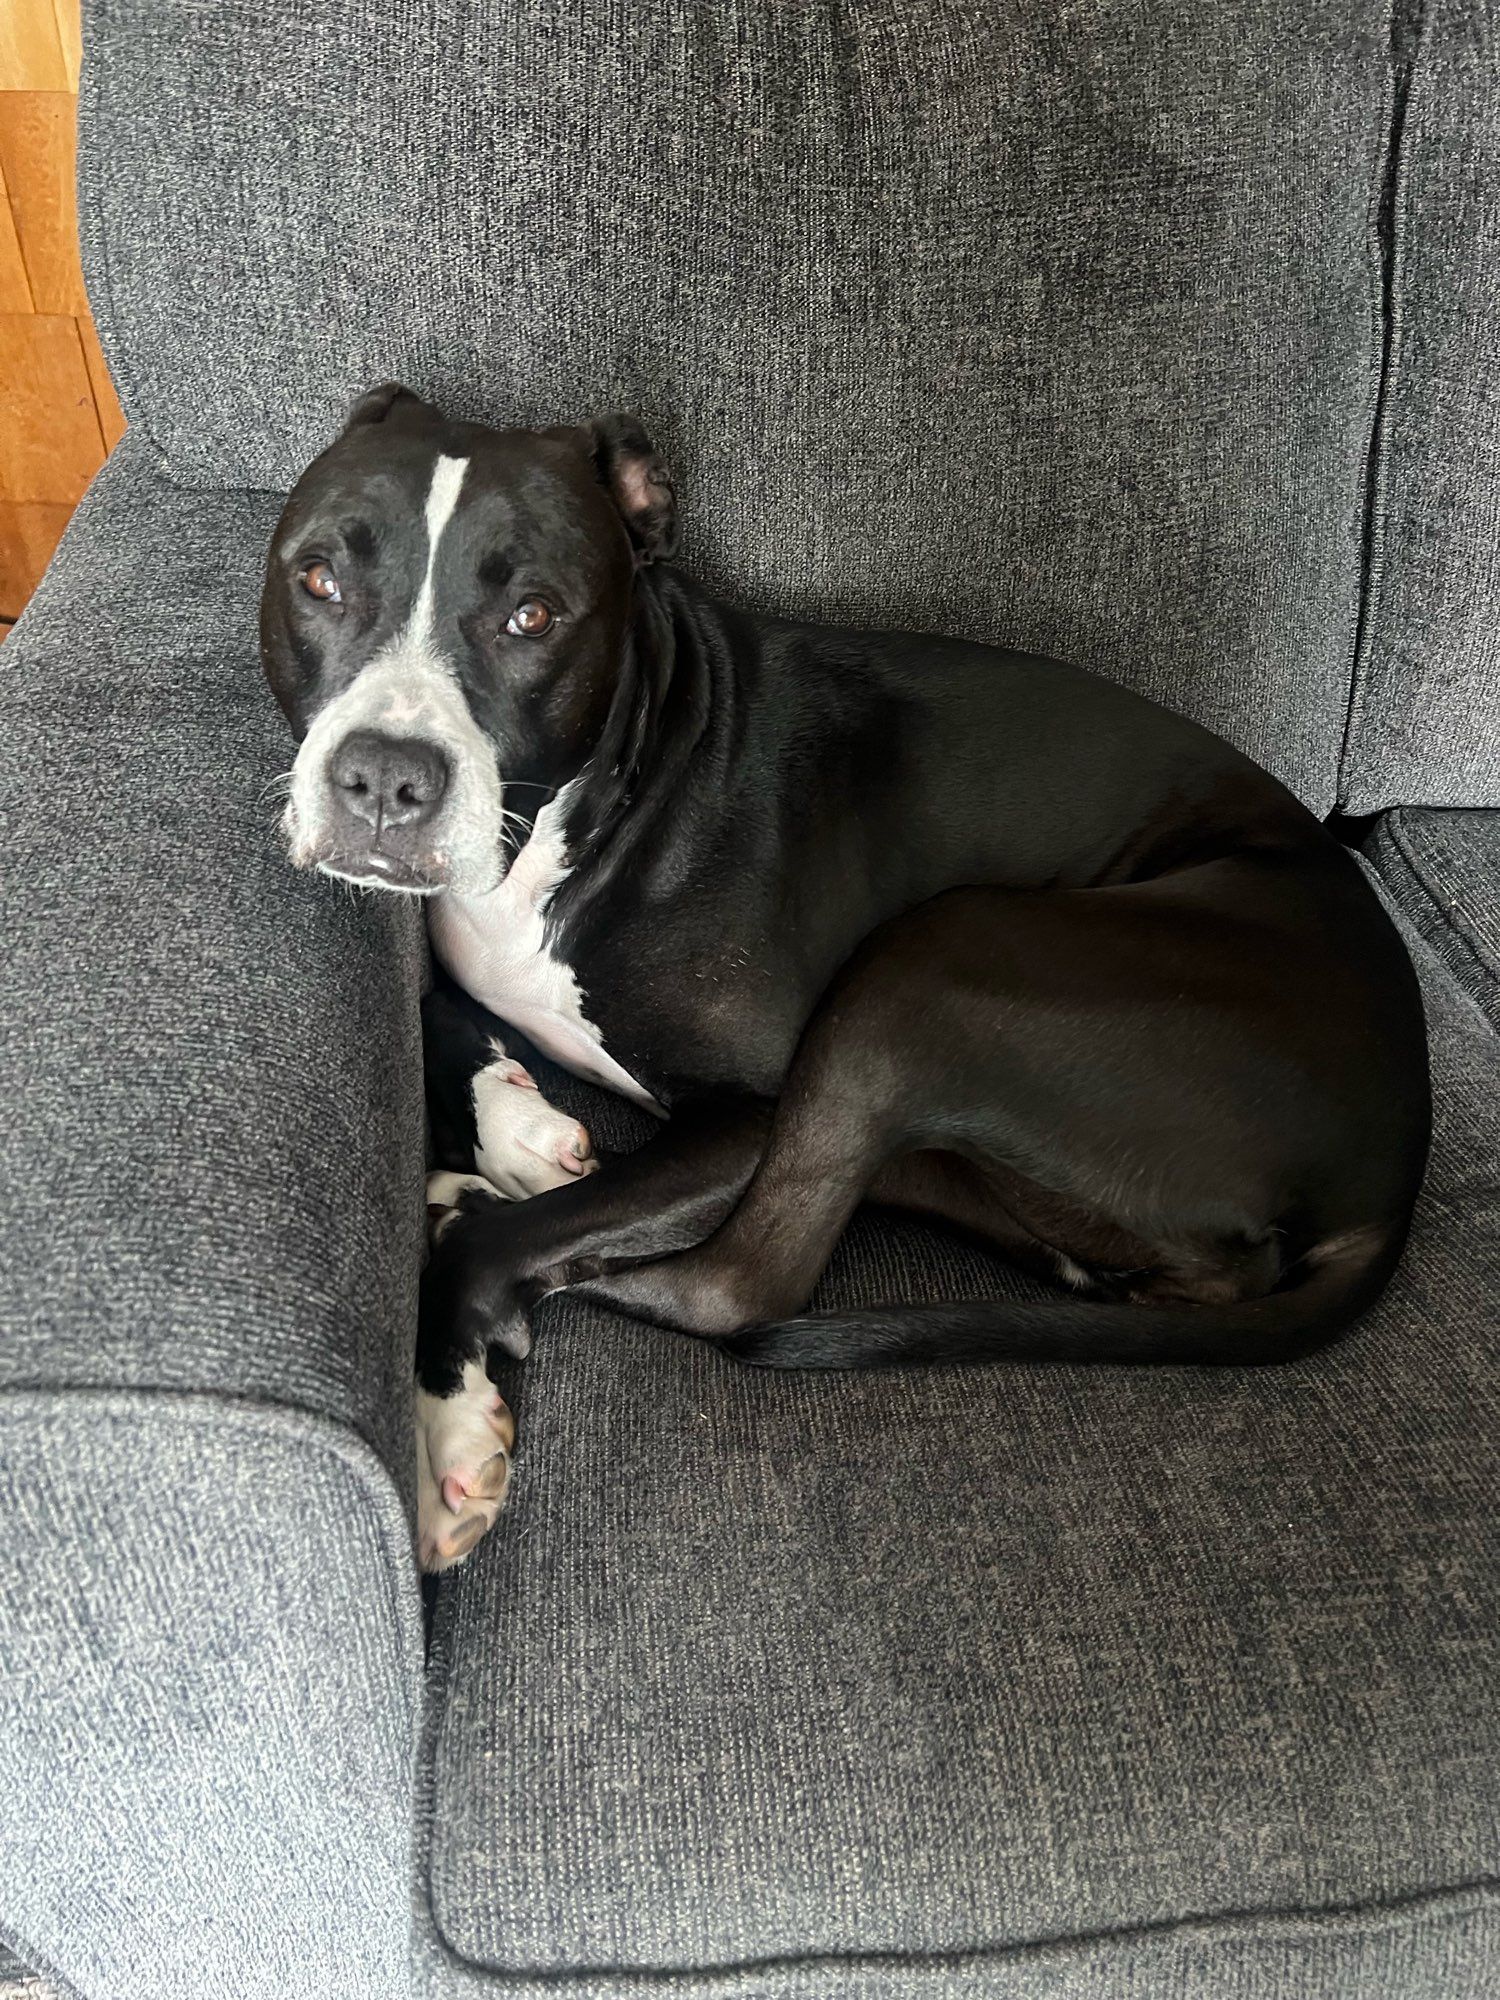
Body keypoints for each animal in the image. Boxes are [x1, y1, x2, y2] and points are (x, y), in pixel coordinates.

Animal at [264, 386, 1440, 1560]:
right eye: (317, 579)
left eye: (534, 617)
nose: (385, 777)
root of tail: (1397, 1163)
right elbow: (438, 1009)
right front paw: (514, 1126)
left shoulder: (745, 1117)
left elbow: (521, 1239)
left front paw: (446, 1424)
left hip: (930, 960)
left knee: (738, 1288)